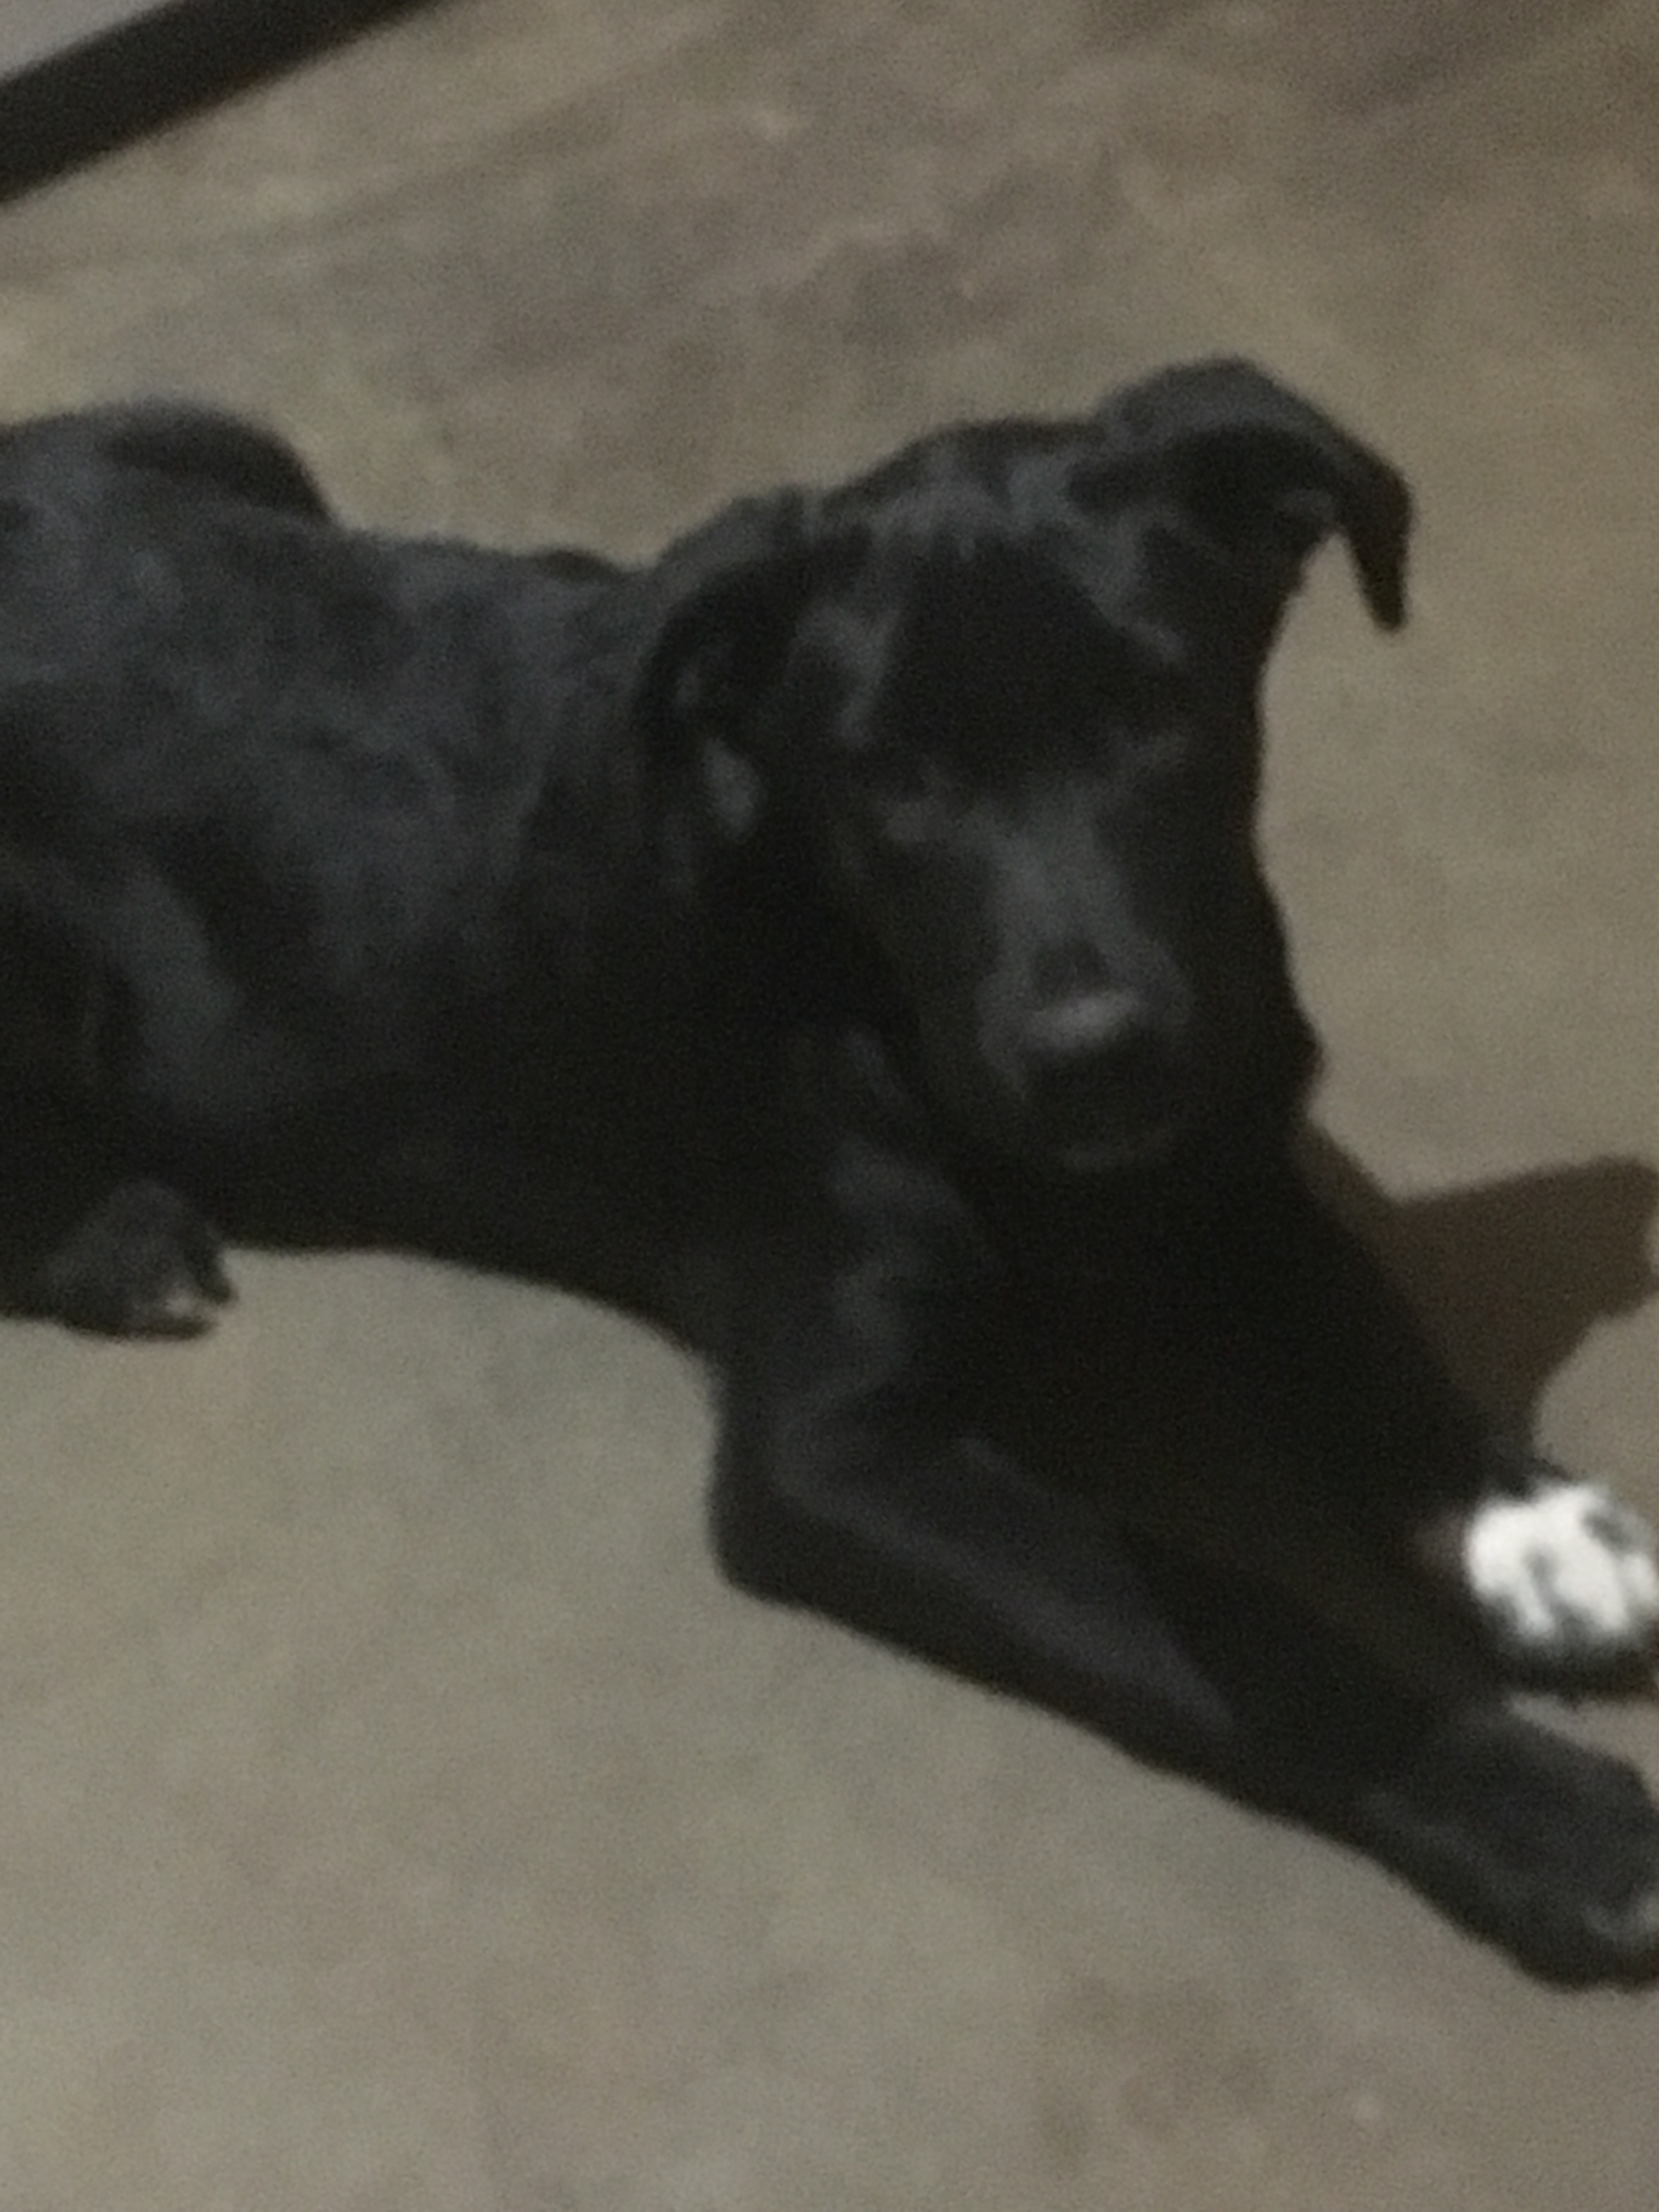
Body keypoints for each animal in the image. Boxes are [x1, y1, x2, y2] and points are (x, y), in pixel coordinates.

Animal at [3, 354, 1659, 1982]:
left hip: (236, 439)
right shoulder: (837, 1449)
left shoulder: (1236, 1173)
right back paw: (113, 1239)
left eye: (1157, 709)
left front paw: (1534, 1536)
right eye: (894, 778)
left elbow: (1368, 1344)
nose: (1099, 1053)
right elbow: (1239, 1626)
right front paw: (1547, 1816)